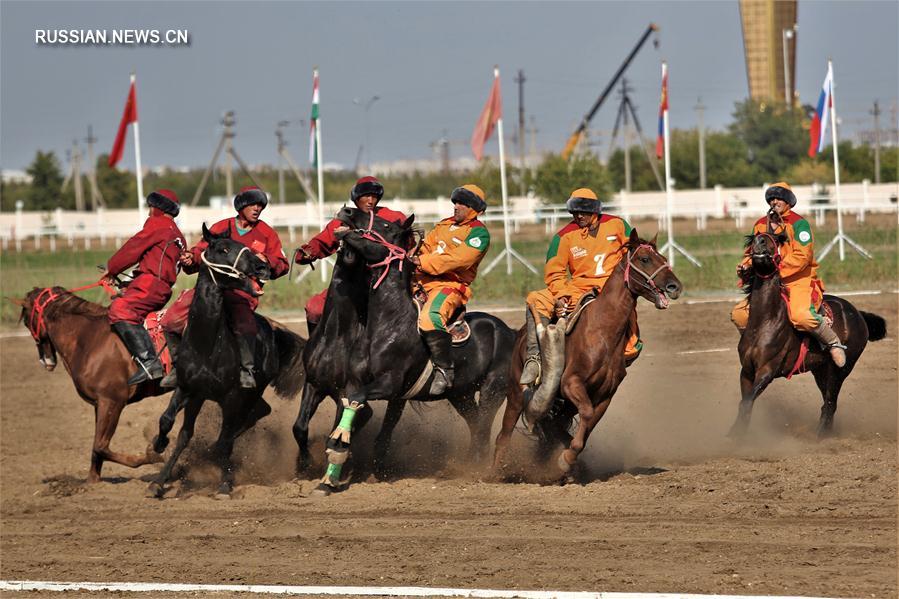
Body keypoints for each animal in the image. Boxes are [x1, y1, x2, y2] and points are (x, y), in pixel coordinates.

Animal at [15, 286, 169, 482]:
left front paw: (151, 455)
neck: (88, 339)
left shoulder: (112, 402)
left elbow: (100, 446)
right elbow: (97, 447)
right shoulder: (100, 404)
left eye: (27, 321)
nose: (46, 361)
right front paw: (92, 481)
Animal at [146, 224, 304, 496]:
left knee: (243, 423)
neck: (206, 344)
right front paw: (159, 468)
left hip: (250, 392)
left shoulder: (231, 397)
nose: (262, 267)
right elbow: (174, 427)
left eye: (247, 248)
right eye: (223, 249)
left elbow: (224, 442)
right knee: (253, 416)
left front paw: (223, 484)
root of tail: (273, 330)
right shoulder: (189, 390)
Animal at [300, 206, 516, 492]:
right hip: (462, 394)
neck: (388, 323)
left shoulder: (388, 385)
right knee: (474, 426)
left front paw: (337, 451)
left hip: (493, 389)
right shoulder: (349, 383)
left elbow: (356, 402)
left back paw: (478, 471)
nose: (347, 211)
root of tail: (509, 330)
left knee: (482, 429)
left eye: (385, 225)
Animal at [492, 230, 684, 482]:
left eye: (663, 257)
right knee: (504, 435)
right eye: (644, 259)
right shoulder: (571, 383)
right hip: (516, 394)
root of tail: (522, 336)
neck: (601, 332)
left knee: (553, 428)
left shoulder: (605, 395)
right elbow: (586, 413)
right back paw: (495, 472)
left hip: (562, 406)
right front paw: (566, 460)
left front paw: (567, 460)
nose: (674, 286)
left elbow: (589, 423)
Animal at [736, 232, 888, 438]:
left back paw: (820, 435)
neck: (765, 322)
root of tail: (858, 314)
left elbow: (747, 401)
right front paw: (736, 433)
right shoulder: (746, 371)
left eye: (776, 239)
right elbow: (745, 404)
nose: (759, 241)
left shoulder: (767, 371)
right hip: (820, 370)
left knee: (831, 401)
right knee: (828, 401)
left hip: (841, 369)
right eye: (754, 238)